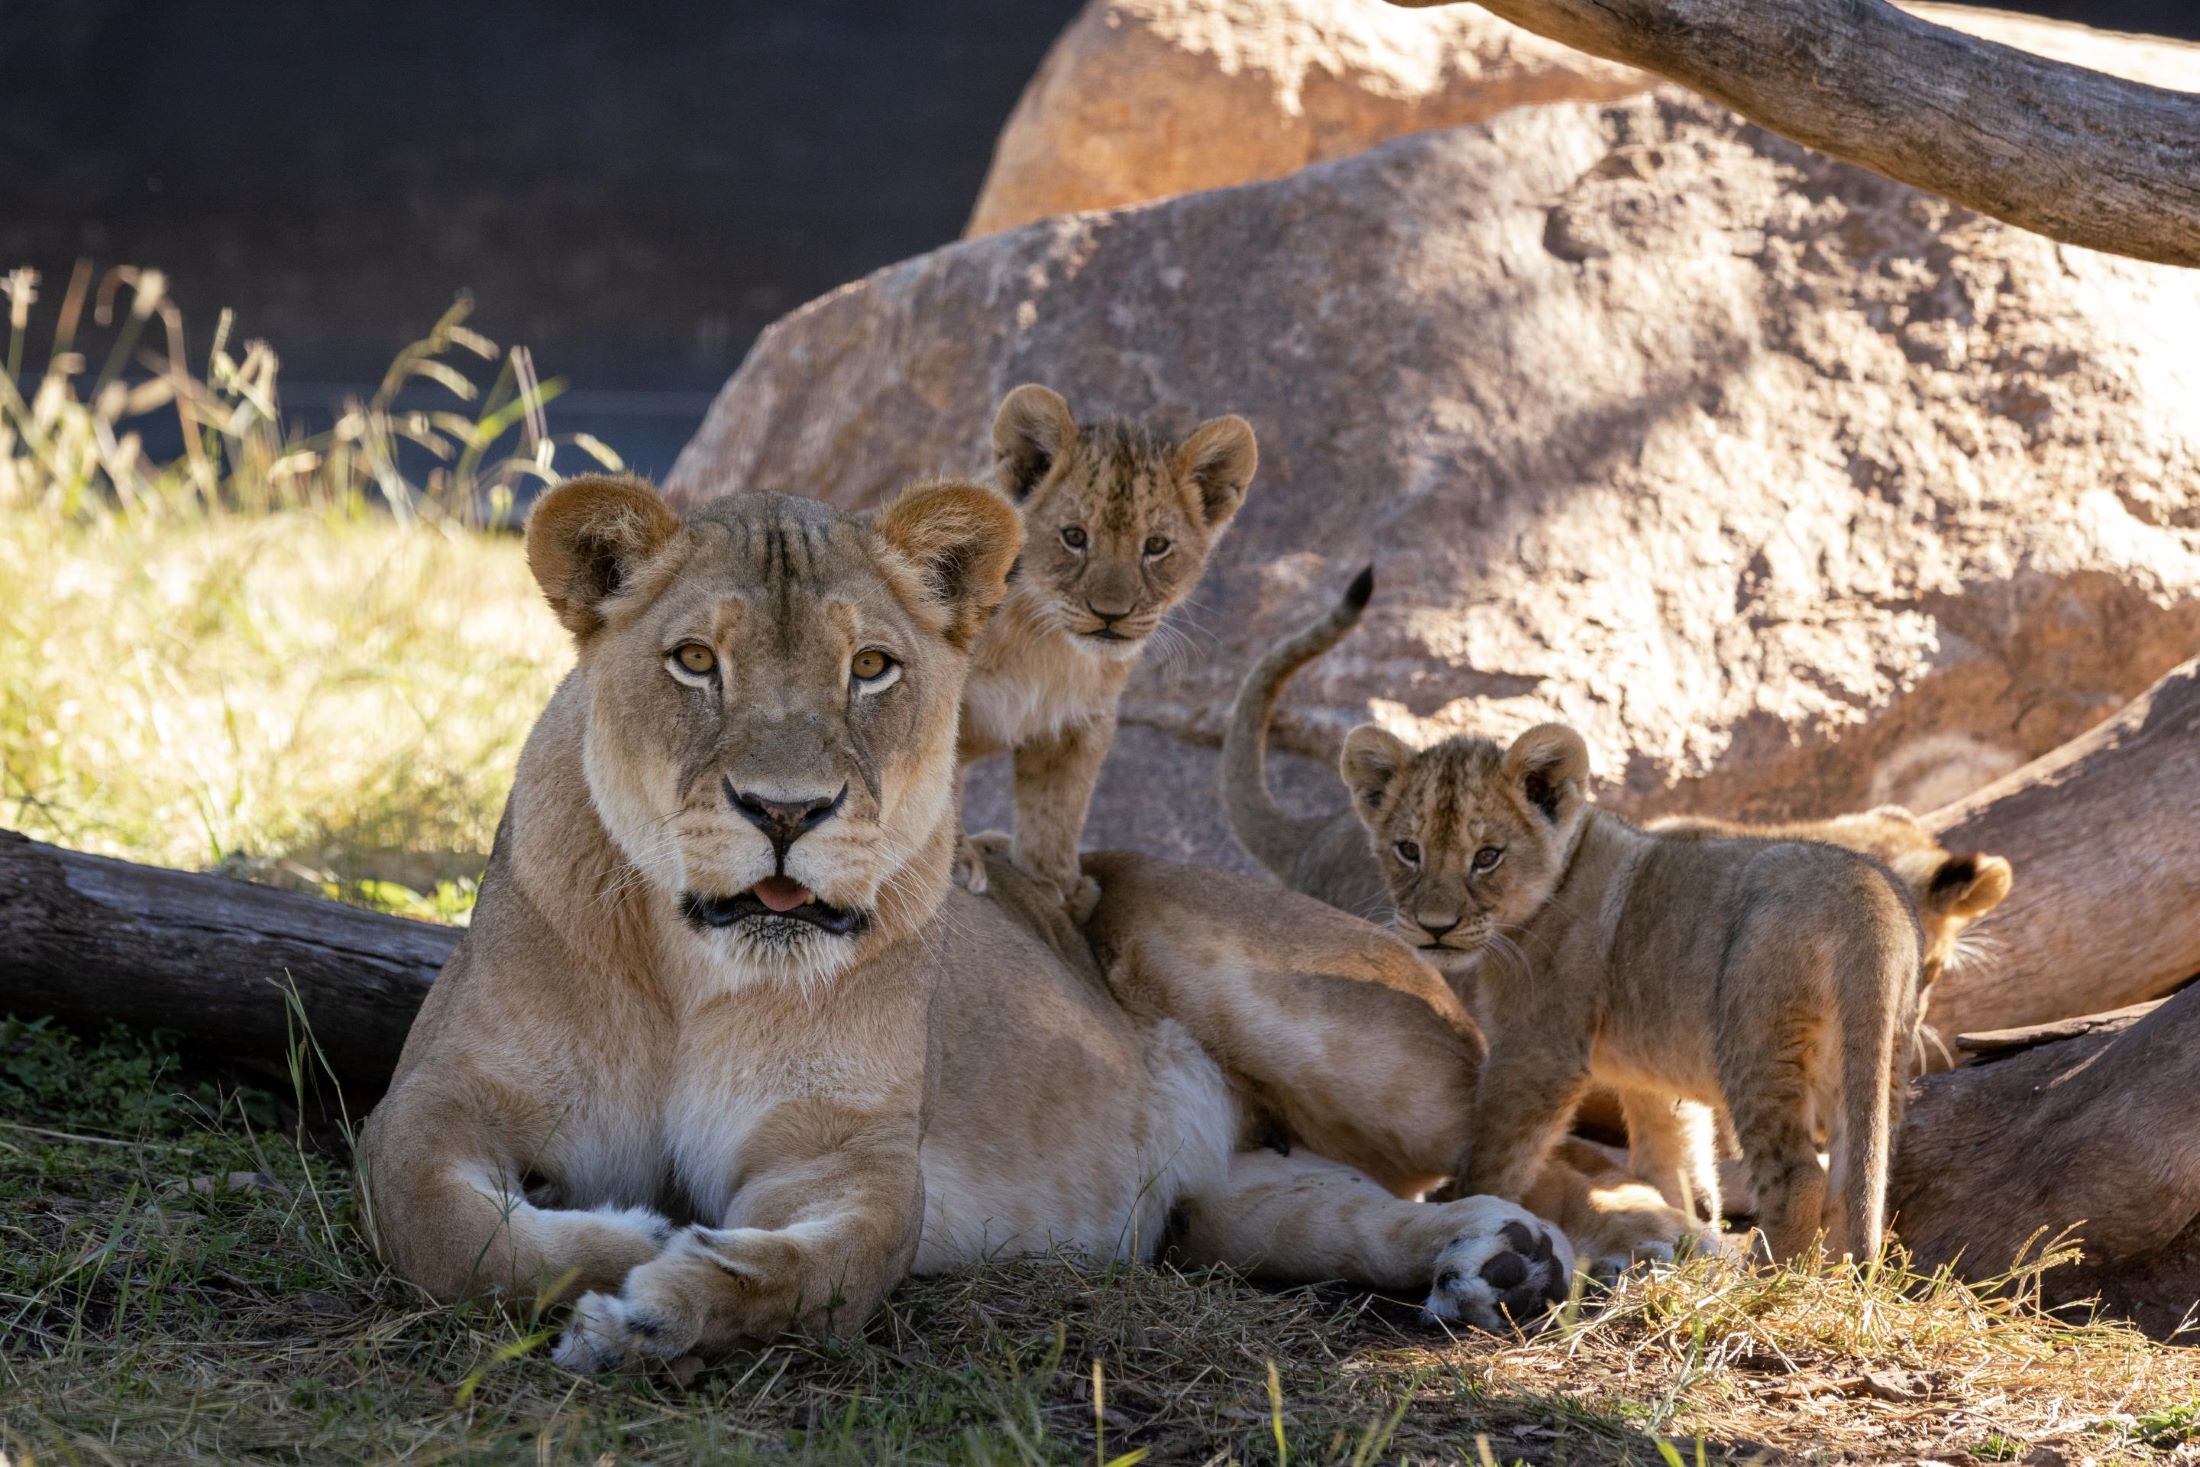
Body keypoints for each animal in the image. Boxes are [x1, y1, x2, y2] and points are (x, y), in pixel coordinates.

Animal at [356, 474, 1703, 1373]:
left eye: (872, 669)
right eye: (694, 661)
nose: (786, 812)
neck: (695, 968)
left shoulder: (849, 1158)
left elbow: (819, 1271)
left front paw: (658, 1301)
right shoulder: (432, 1099)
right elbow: (439, 1230)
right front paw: (624, 1243)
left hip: (1287, 1003)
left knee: (1529, 1137)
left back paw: (1641, 1238)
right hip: (1214, 1205)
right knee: (1354, 1212)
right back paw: (1499, 1261)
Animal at [956, 385, 1257, 917]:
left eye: (1156, 546)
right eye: (1075, 536)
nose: (1110, 614)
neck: (1045, 644)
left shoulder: (1083, 720)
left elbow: (1060, 804)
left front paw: (1055, 881)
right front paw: (952, 858)